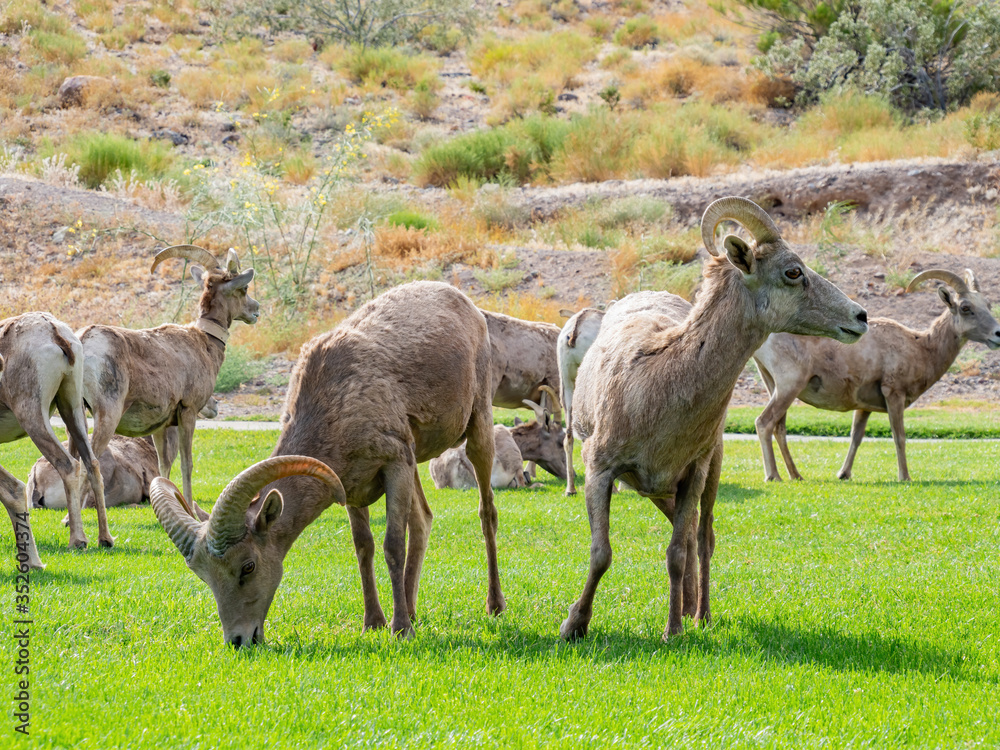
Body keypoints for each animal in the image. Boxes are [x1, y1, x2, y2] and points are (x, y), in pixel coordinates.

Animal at [0, 313, 108, 564]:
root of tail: (54, 331)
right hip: (72, 406)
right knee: (92, 464)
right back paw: (104, 539)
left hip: (33, 416)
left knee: (68, 464)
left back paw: (77, 541)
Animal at [81, 245, 257, 508]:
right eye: (243, 289)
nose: (256, 310)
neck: (204, 344)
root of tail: (82, 342)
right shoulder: (188, 412)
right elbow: (187, 465)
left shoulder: (160, 427)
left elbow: (164, 467)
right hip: (107, 416)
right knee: (89, 465)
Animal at [150, 281, 504, 645]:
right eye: (203, 575)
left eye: (248, 566)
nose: (239, 640)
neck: (335, 403)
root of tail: (462, 301)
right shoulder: (354, 486)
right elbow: (364, 547)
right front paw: (373, 622)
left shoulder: (394, 465)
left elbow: (393, 544)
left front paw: (400, 630)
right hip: (415, 459)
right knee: (423, 520)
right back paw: (413, 609)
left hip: (478, 427)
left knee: (486, 512)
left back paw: (493, 606)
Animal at [753, 268, 1000, 482]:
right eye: (965, 307)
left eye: (988, 304)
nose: (998, 334)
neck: (921, 347)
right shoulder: (894, 394)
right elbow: (899, 436)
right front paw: (905, 477)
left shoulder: (863, 407)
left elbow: (856, 436)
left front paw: (844, 474)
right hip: (789, 385)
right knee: (764, 422)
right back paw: (773, 476)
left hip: (773, 385)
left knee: (779, 428)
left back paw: (796, 475)